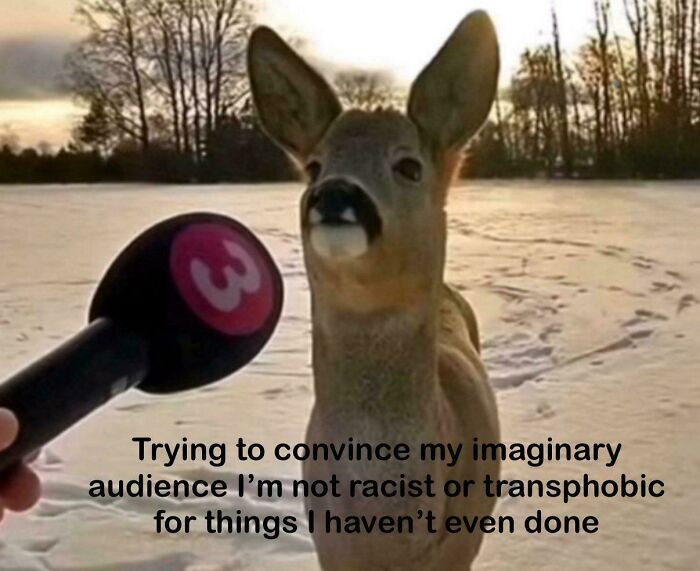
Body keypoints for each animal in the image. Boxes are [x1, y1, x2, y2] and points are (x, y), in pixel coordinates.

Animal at [248, 10, 501, 571]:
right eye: (314, 166)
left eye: (409, 165)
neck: (388, 537)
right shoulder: (330, 548)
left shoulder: (462, 548)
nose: (334, 194)